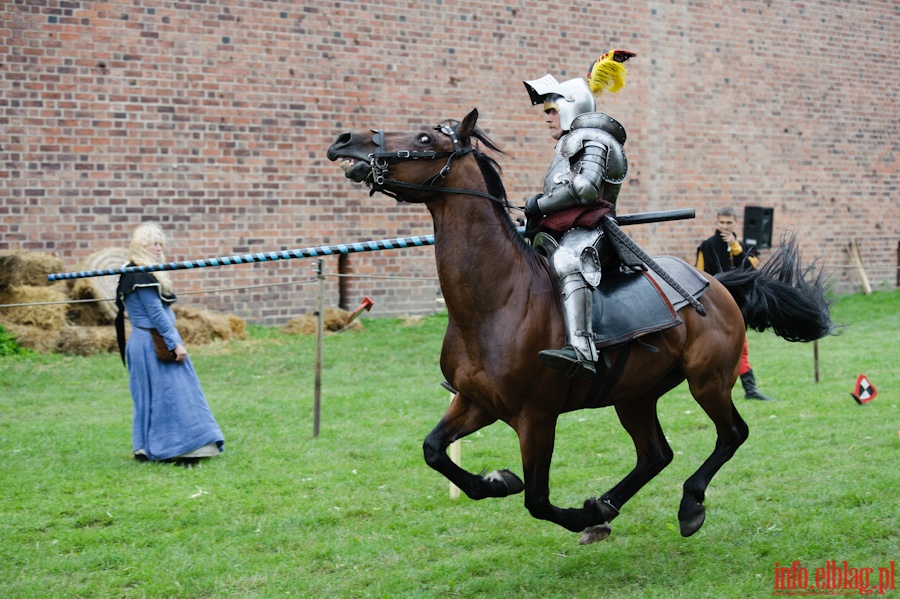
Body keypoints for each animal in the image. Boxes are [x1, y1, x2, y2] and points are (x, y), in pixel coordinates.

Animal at [326, 108, 832, 544]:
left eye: (425, 139)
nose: (345, 140)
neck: (498, 299)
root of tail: (717, 284)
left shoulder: (535, 417)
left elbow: (537, 499)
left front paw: (569, 511)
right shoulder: (476, 403)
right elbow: (434, 450)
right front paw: (498, 482)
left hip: (707, 382)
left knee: (731, 435)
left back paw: (687, 505)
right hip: (634, 396)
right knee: (656, 454)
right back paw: (607, 504)